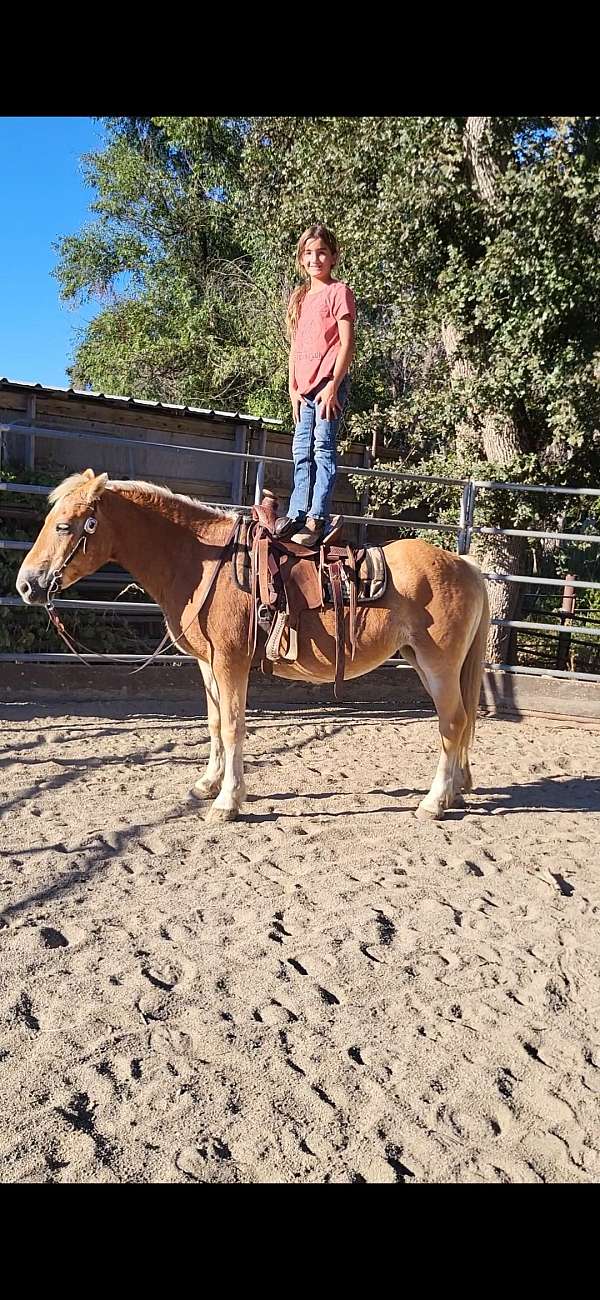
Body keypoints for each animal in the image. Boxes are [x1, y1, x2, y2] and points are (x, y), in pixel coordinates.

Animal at [16, 473, 490, 826]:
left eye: (64, 526)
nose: (26, 585)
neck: (203, 563)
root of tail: (465, 565)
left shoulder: (231, 664)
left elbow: (232, 727)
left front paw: (227, 802)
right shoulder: (207, 665)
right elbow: (213, 724)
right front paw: (207, 784)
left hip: (438, 665)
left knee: (452, 723)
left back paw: (433, 802)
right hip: (424, 662)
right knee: (462, 722)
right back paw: (457, 790)